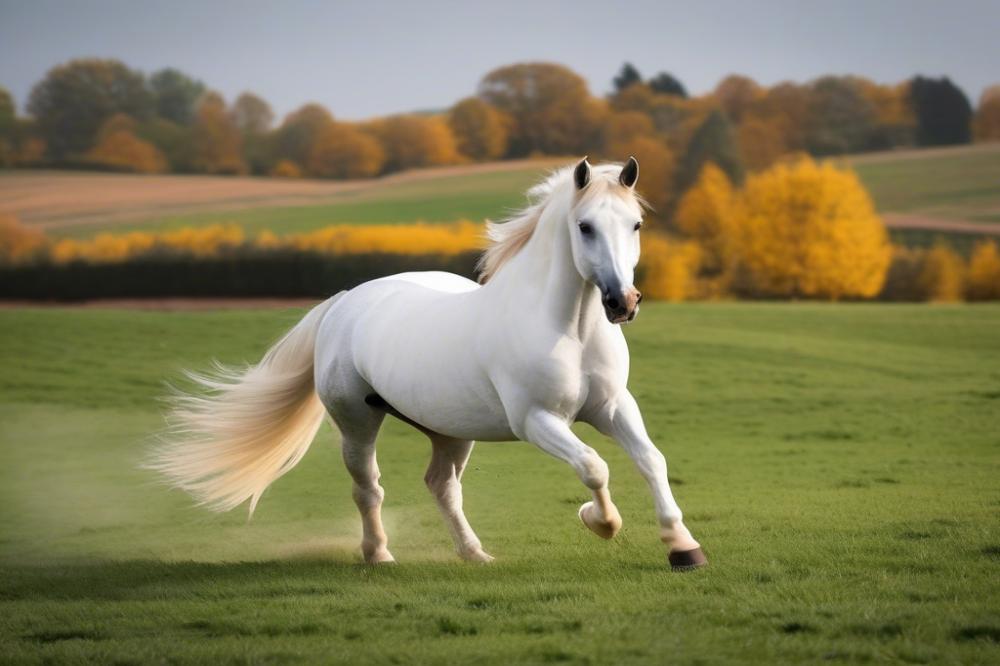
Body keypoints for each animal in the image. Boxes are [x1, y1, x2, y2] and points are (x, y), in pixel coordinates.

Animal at [151, 157, 706, 570]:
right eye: (584, 226)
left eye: (635, 224)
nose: (623, 302)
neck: (568, 329)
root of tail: (346, 301)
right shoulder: (536, 421)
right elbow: (593, 466)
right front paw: (600, 522)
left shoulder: (612, 407)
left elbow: (650, 460)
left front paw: (683, 547)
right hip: (357, 421)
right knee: (368, 488)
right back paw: (379, 555)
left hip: (450, 431)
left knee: (442, 487)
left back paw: (475, 554)